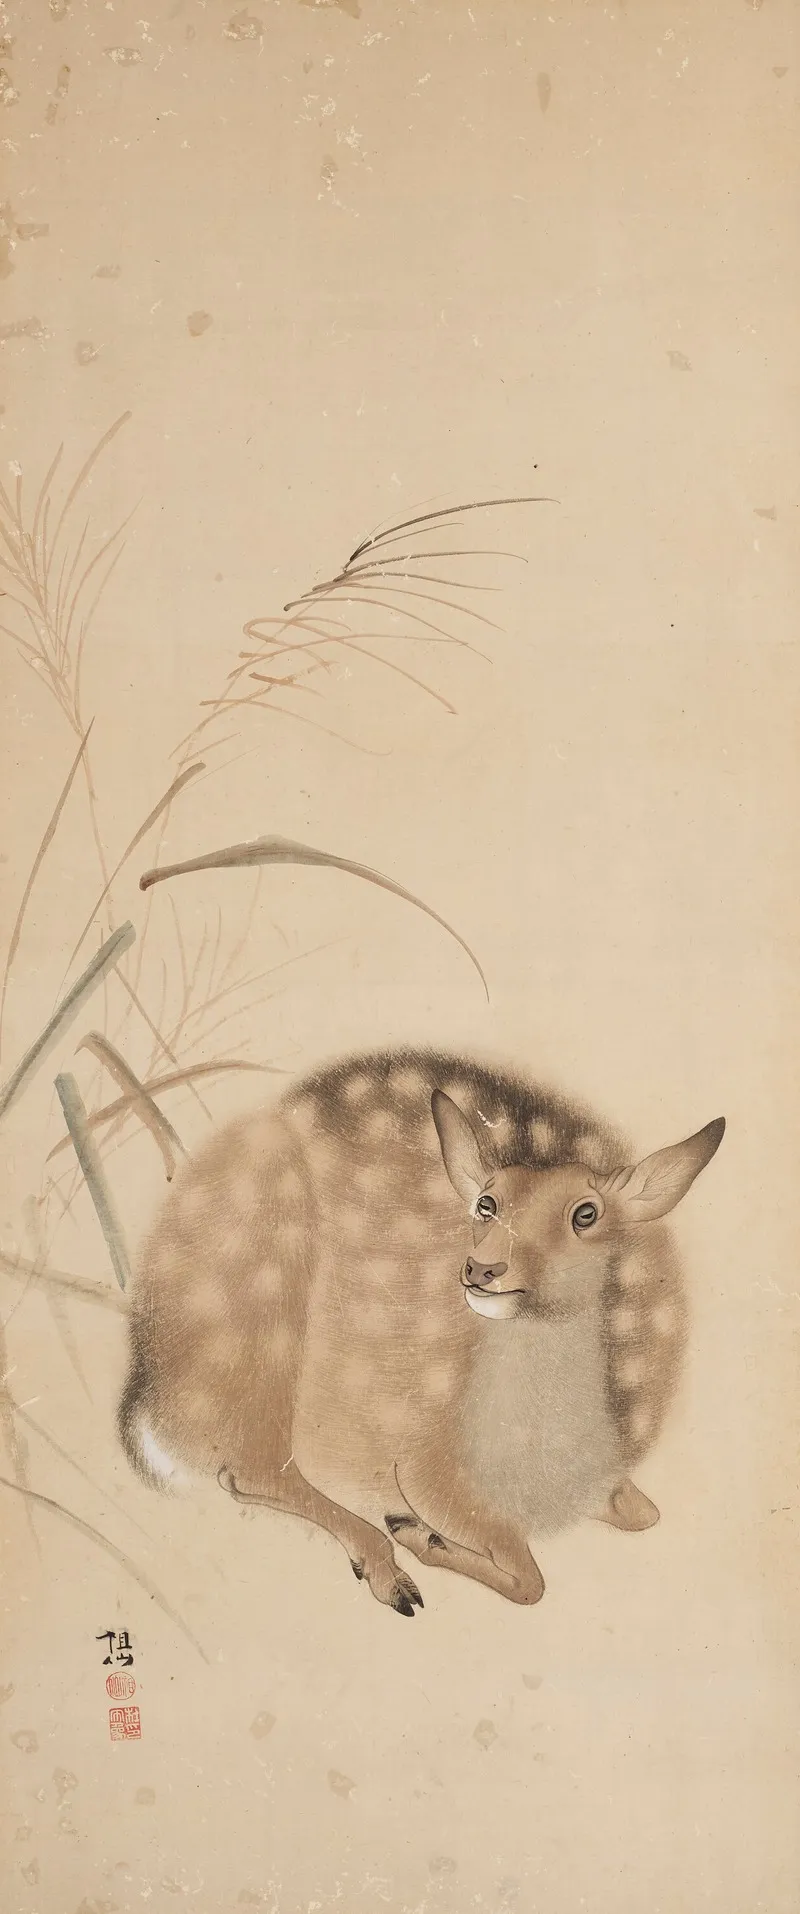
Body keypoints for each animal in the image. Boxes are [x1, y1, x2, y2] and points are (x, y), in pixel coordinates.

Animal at [118, 1048, 725, 1616]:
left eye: (587, 1213)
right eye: (486, 1202)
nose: (482, 1268)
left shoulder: (610, 1483)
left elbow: (645, 1516)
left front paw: (422, 1536)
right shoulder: (422, 1465)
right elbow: (531, 1580)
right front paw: (421, 1535)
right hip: (255, 1315)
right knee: (250, 1469)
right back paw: (388, 1570)